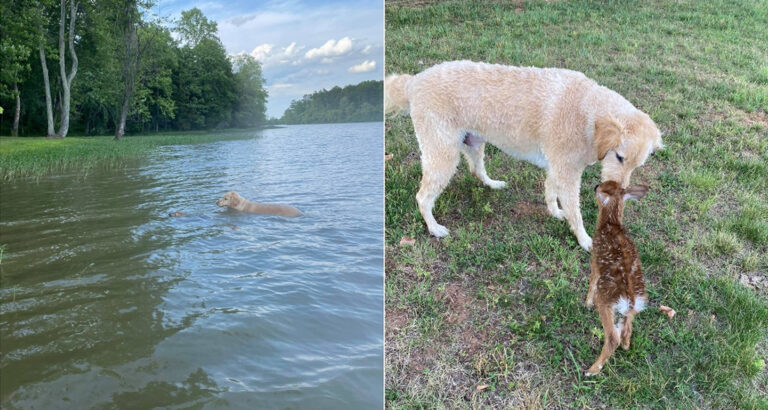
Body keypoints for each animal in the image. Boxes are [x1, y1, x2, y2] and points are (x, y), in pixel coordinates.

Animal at [388, 60, 664, 250]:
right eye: (619, 157)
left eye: (637, 165)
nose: (620, 193)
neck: (587, 111)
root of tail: (414, 81)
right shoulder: (567, 173)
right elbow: (575, 211)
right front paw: (585, 239)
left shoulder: (557, 167)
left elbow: (550, 191)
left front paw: (555, 212)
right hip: (442, 156)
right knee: (422, 197)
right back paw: (434, 228)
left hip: (473, 143)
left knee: (476, 170)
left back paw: (492, 184)